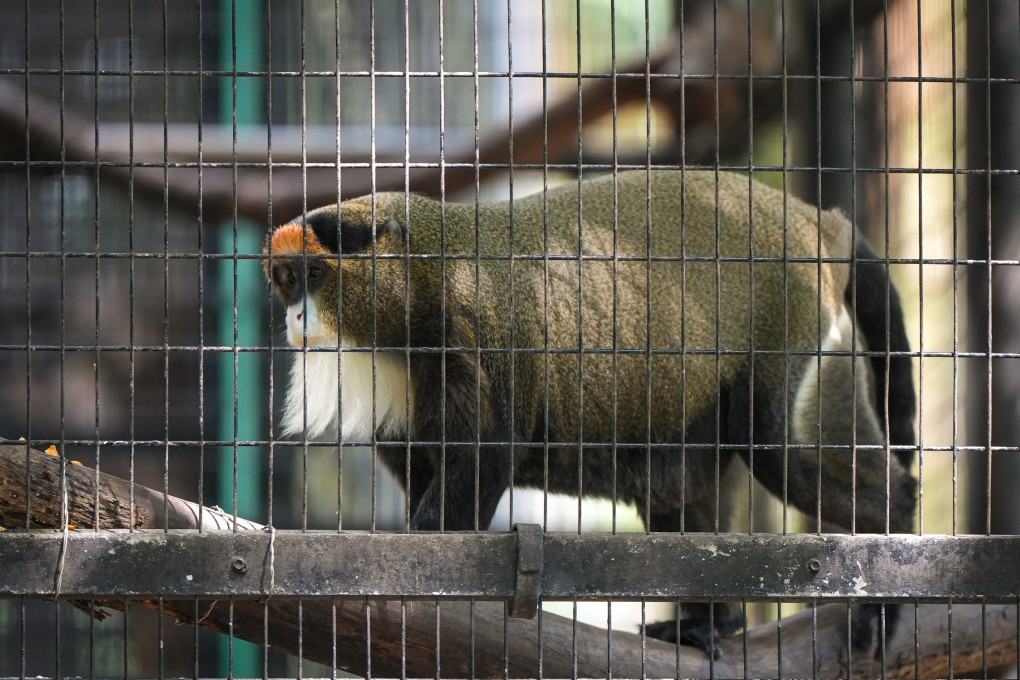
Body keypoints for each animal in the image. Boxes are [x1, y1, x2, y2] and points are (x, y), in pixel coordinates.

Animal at [263, 169, 917, 658]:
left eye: (317, 275)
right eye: (287, 278)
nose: (296, 318)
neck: (418, 283)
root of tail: (817, 221)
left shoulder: (476, 336)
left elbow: (488, 455)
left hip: (794, 326)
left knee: (779, 451)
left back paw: (893, 563)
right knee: (683, 487)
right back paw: (713, 621)